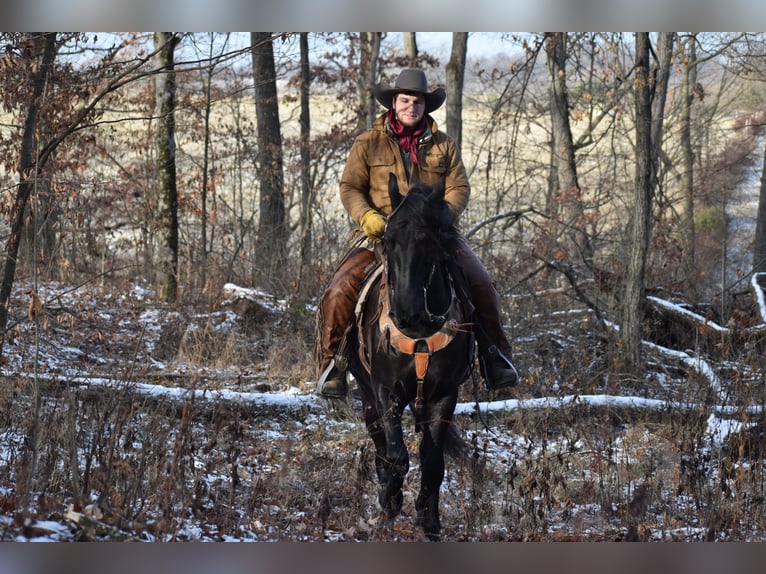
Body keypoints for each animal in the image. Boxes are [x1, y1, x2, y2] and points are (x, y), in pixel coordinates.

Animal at [350, 173, 480, 544]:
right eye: (388, 239)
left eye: (428, 241)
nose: (405, 314)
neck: (420, 331)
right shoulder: (385, 390)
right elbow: (396, 455)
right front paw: (388, 502)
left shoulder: (443, 395)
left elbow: (432, 461)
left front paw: (429, 519)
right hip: (366, 392)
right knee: (379, 439)